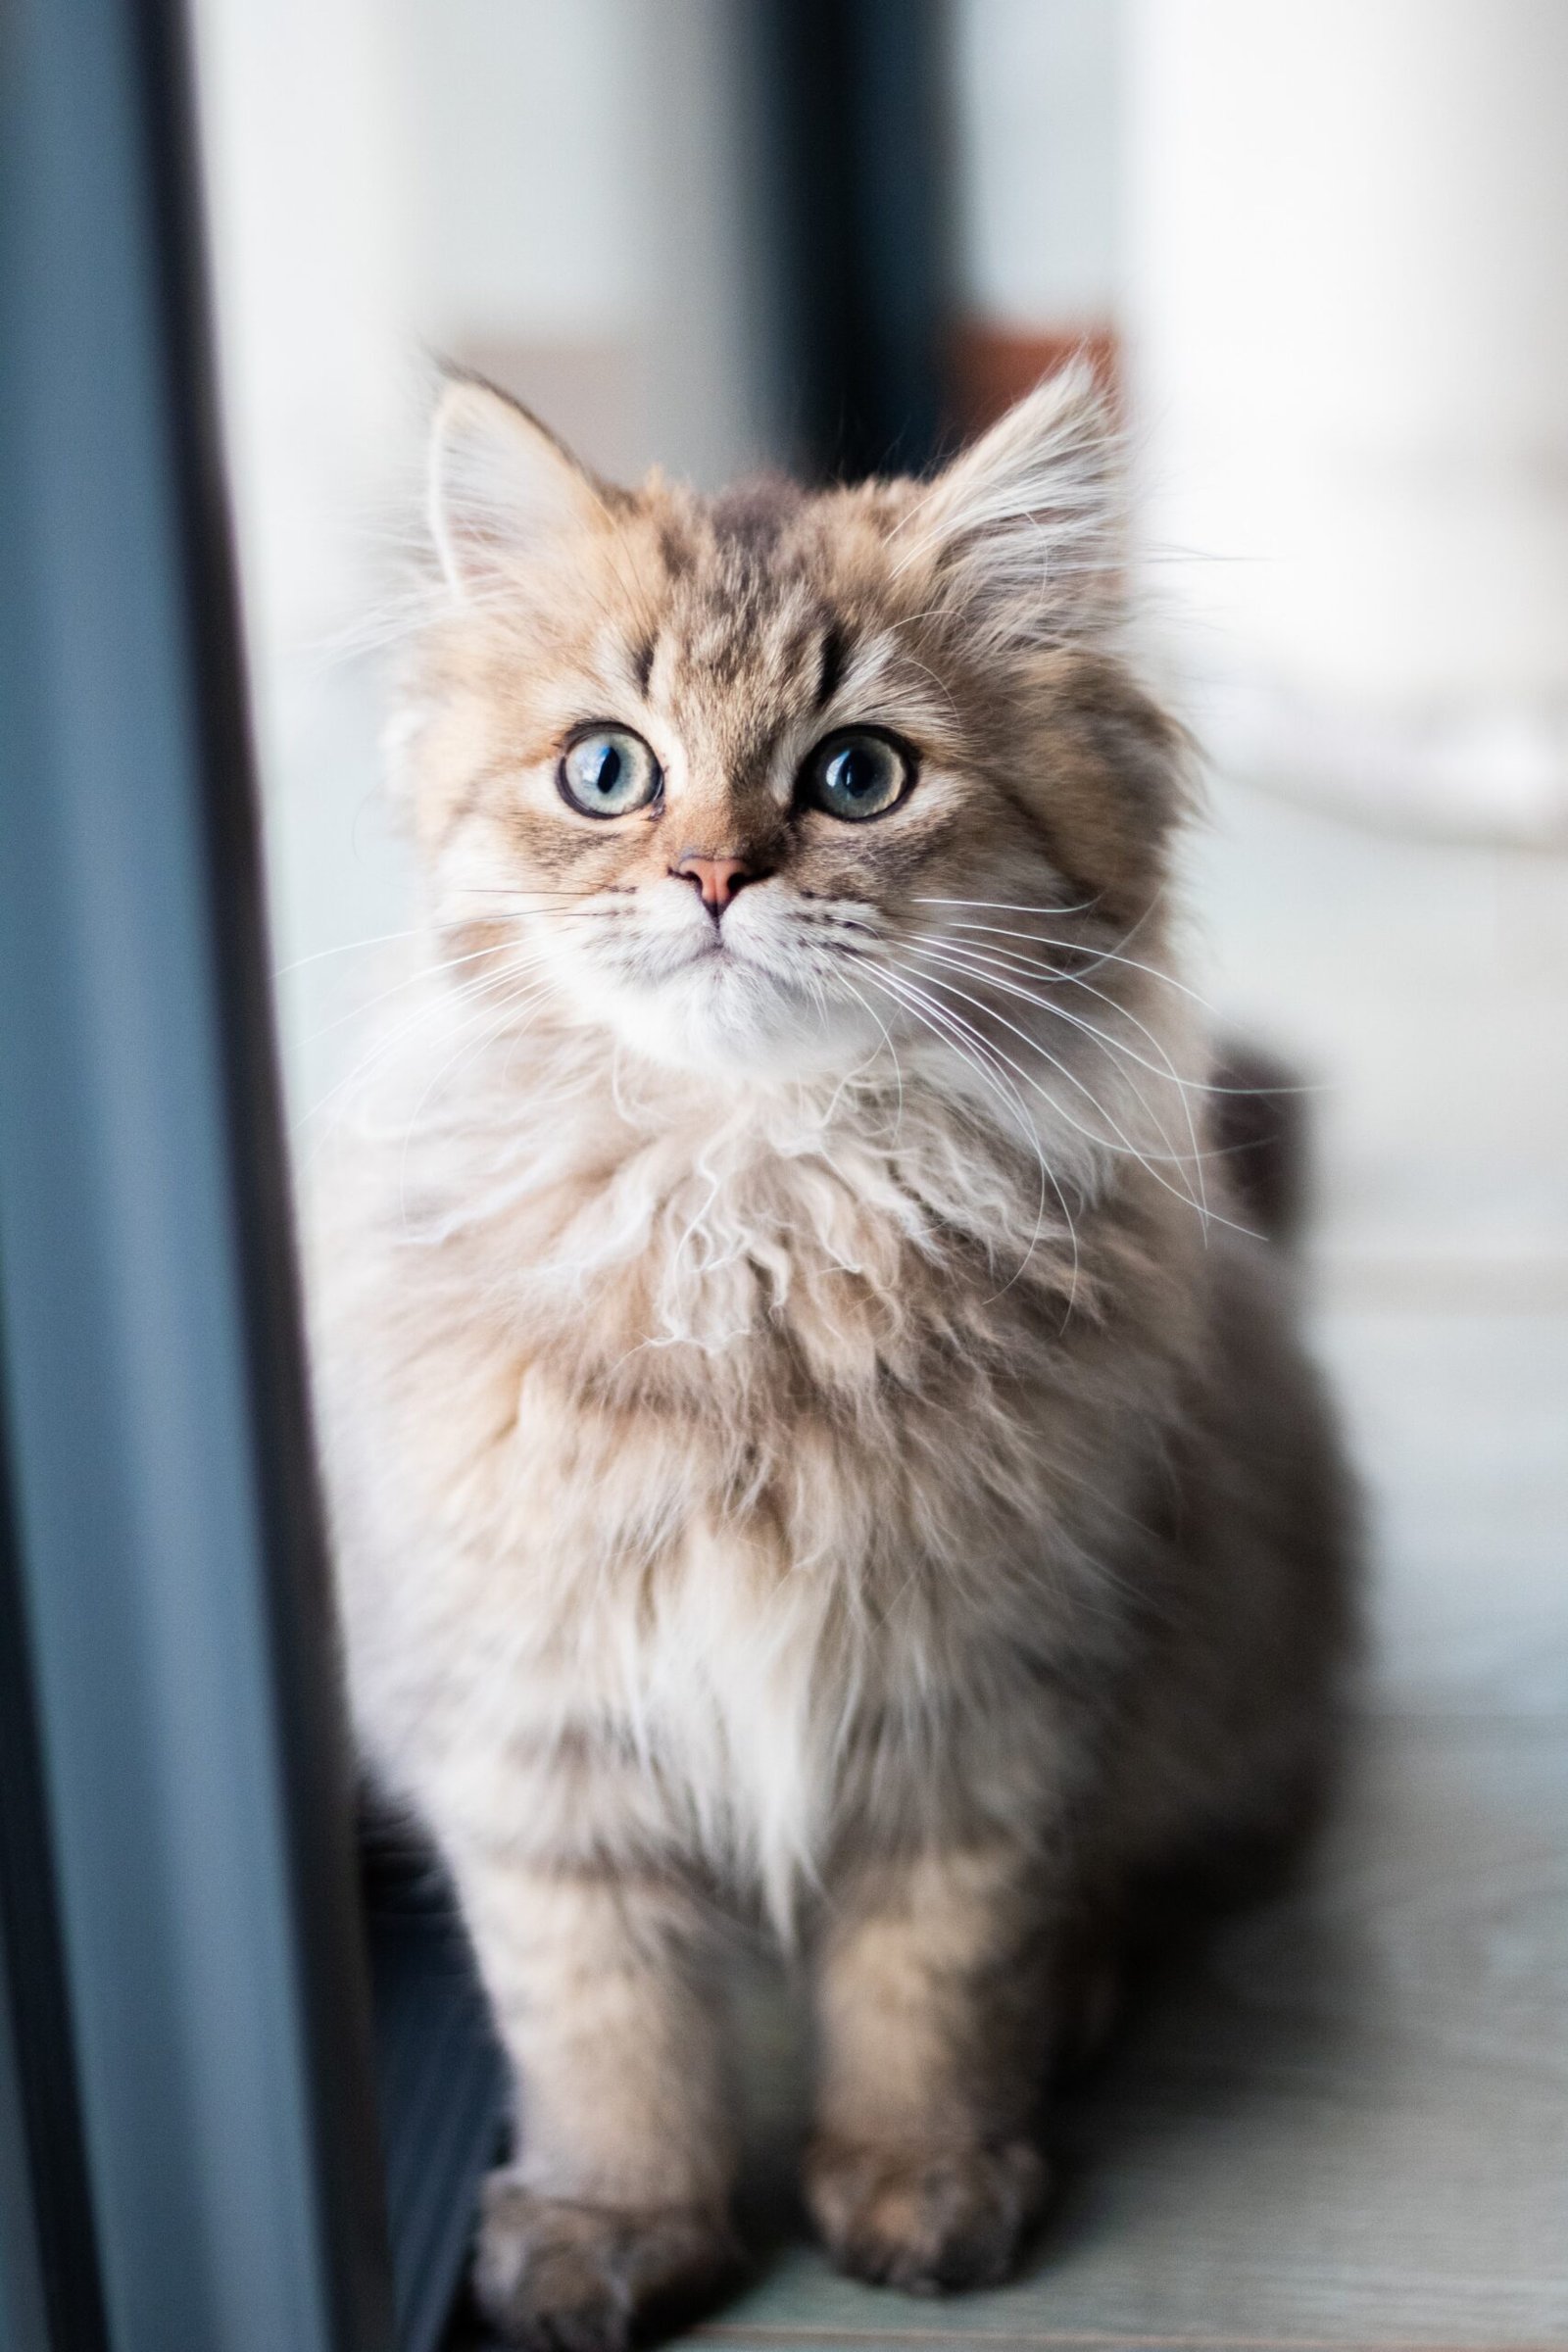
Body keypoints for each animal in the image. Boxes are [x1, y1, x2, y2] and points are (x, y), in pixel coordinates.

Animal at [313, 367, 1353, 2352]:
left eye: (858, 775)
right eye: (609, 770)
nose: (716, 871)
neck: (756, 1223)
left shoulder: (986, 1704)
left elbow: (930, 1987)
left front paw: (920, 2184)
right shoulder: (536, 1720)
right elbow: (600, 2024)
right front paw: (617, 2227)